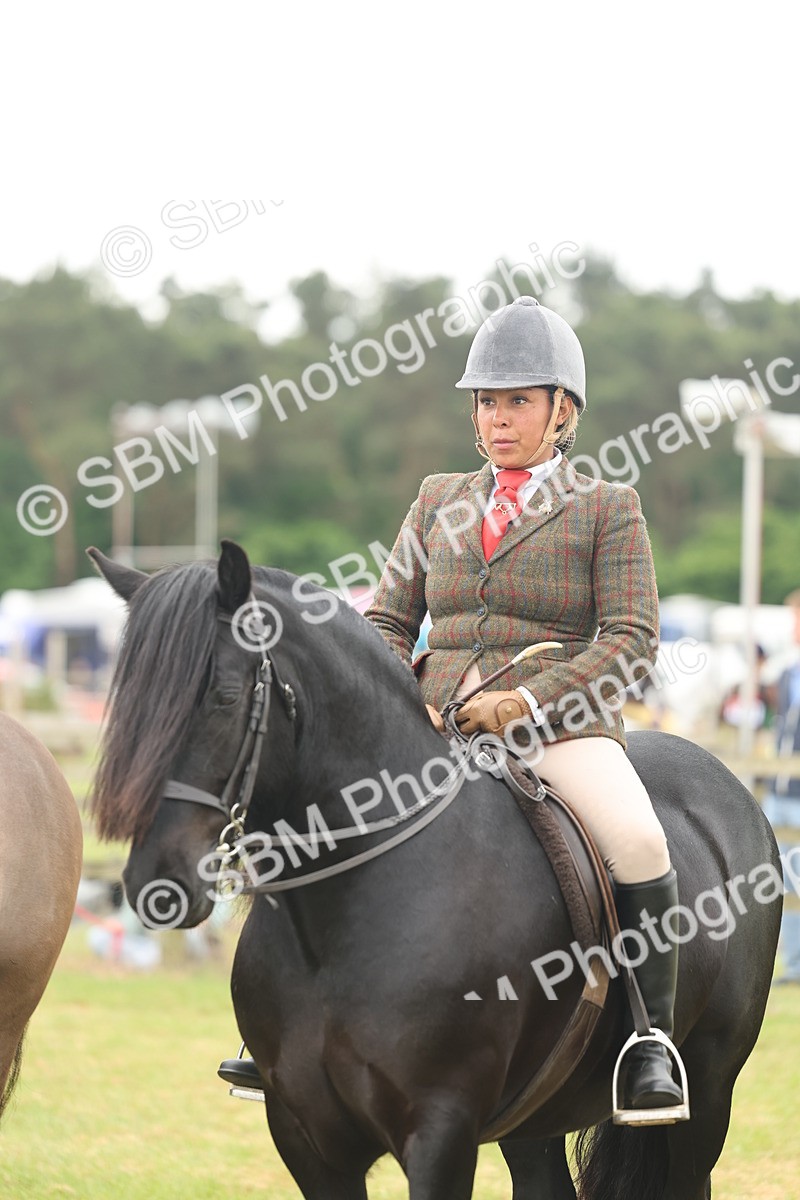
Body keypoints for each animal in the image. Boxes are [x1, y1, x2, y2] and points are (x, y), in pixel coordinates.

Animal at [88, 540, 781, 1199]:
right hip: (536, 1111)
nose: (157, 885)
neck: (344, 920)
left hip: (707, 1092)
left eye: (225, 697)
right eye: (123, 703)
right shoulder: (306, 1138)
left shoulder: (440, 1129)